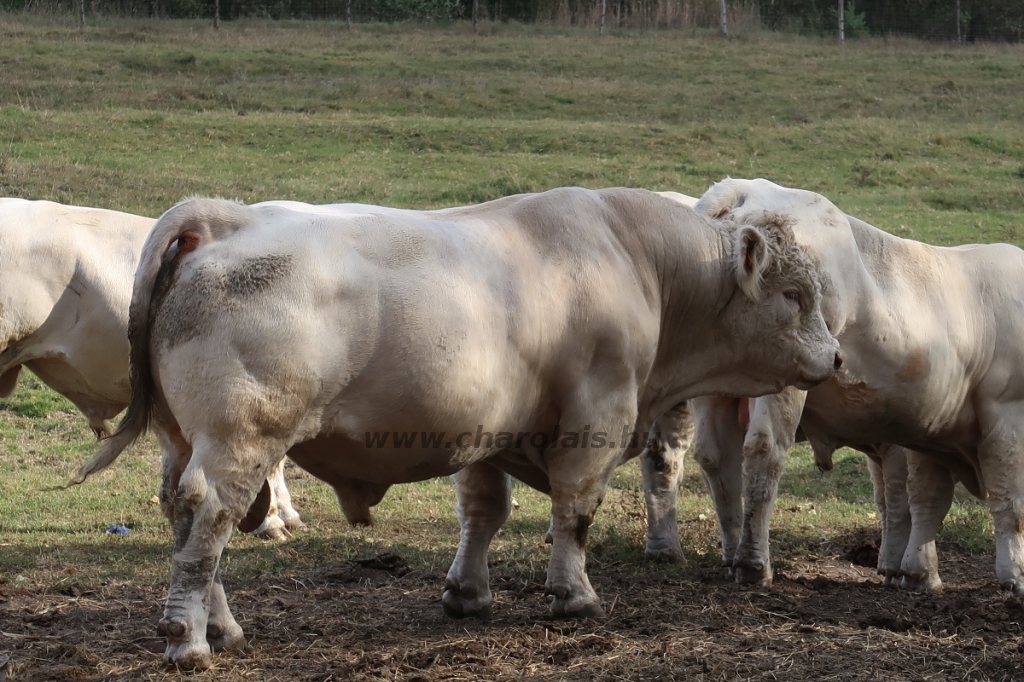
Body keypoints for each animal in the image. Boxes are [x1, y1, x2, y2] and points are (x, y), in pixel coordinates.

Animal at [74, 187, 839, 667]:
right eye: (794, 295)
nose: (834, 358)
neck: (638, 260)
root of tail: (225, 218)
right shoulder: (596, 417)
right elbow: (575, 512)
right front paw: (574, 596)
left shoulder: (489, 431)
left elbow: (483, 512)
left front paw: (468, 594)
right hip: (241, 439)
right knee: (209, 517)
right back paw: (188, 638)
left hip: (184, 438)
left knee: (185, 516)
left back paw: (223, 627)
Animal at [643, 179, 1024, 593]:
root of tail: (744, 189)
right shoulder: (1005, 414)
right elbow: (1006, 499)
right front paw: (1013, 575)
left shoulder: (923, 430)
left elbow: (911, 497)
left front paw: (911, 571)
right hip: (783, 376)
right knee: (763, 452)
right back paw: (753, 563)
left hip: (717, 385)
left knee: (709, 457)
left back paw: (725, 554)